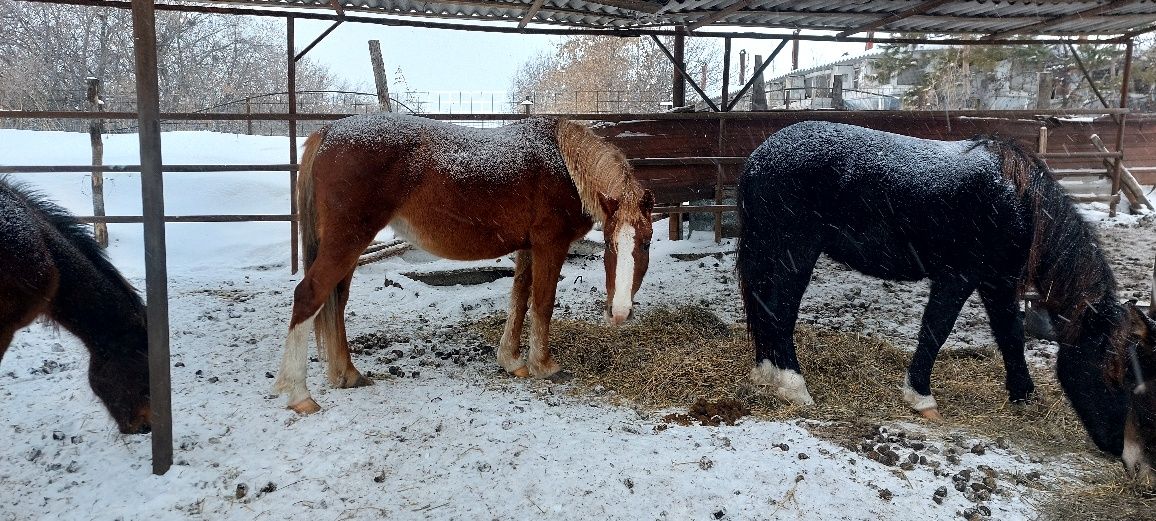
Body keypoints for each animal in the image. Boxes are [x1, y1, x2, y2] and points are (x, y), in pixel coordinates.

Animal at [270, 115, 651, 415]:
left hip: (348, 246)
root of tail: (329, 131)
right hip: (347, 242)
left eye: (645, 242)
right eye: (611, 244)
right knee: (309, 295)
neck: (564, 164)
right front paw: (544, 366)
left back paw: (347, 374)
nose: (619, 313)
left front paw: (512, 361)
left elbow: (519, 299)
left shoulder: (527, 248)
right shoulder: (549, 246)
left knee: (336, 300)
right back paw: (300, 395)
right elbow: (542, 304)